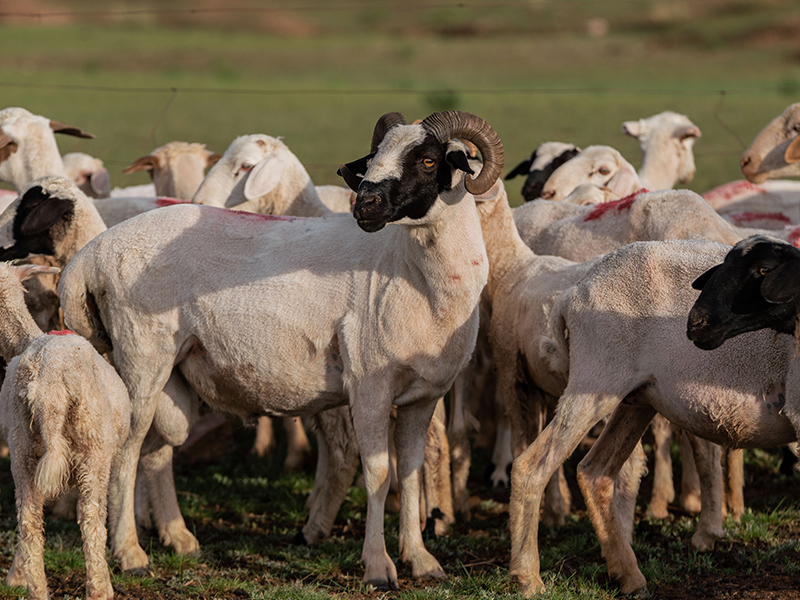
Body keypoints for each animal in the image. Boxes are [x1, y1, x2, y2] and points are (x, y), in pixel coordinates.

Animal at [0, 262, 130, 600]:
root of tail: (50, 383)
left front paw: (16, 575)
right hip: (92, 447)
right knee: (91, 518)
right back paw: (100, 589)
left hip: (24, 448)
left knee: (29, 521)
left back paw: (37, 590)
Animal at [56, 110, 503, 588]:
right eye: (374, 157)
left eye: (427, 160)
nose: (364, 206)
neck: (412, 273)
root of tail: (89, 256)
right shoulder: (370, 387)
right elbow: (380, 474)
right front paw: (378, 566)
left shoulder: (424, 396)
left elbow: (412, 472)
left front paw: (421, 560)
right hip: (142, 356)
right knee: (127, 450)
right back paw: (130, 552)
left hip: (176, 372)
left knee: (158, 447)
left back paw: (179, 538)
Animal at [508, 238, 795, 597]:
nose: (699, 324)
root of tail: (573, 293)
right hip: (597, 378)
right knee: (531, 466)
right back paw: (527, 577)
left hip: (637, 397)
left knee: (594, 472)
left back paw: (629, 576)